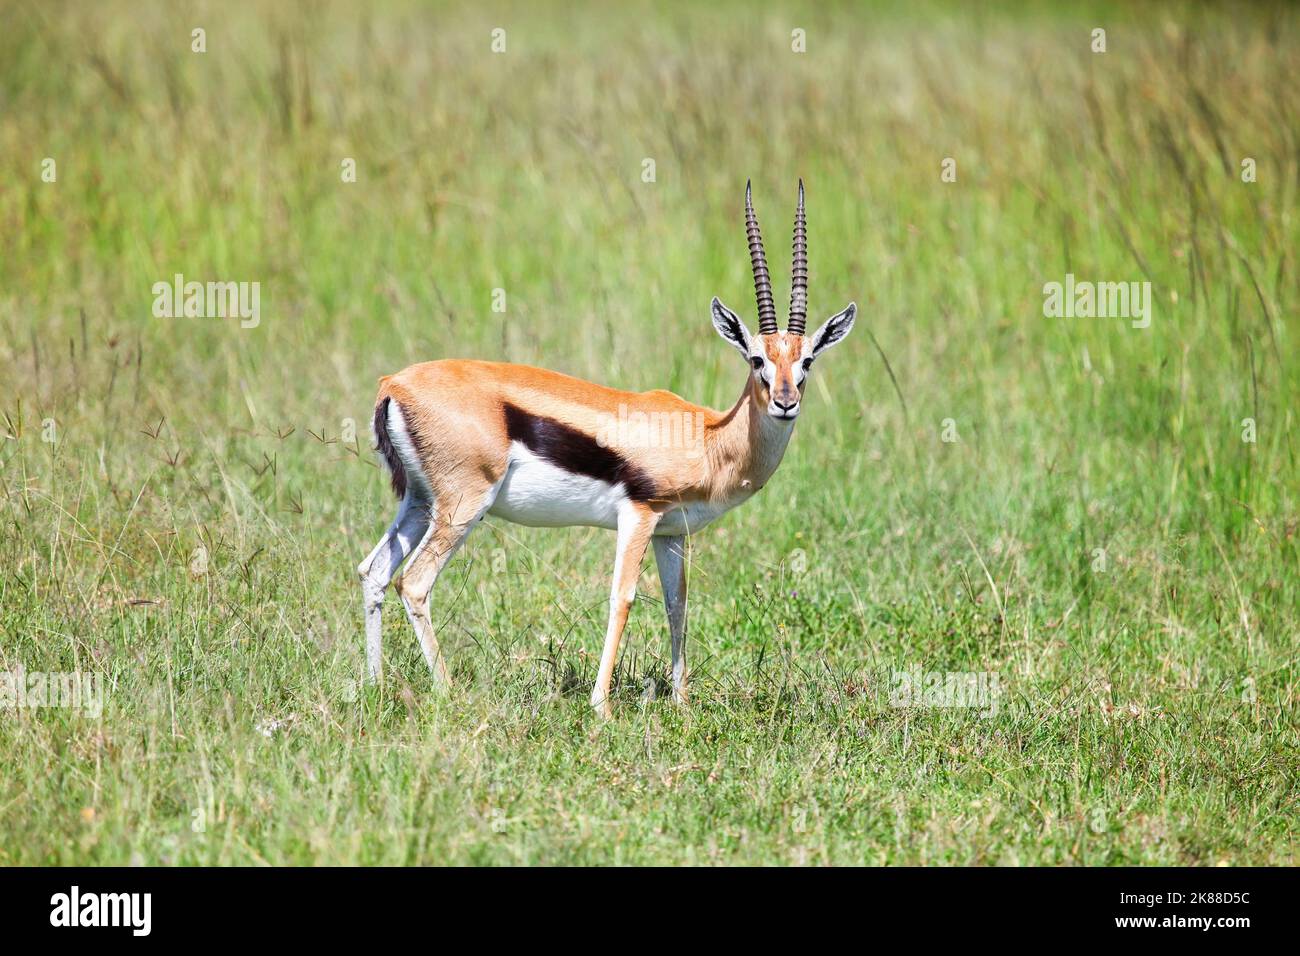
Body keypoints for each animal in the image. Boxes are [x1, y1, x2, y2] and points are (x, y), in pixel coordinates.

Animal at [357, 181, 856, 716]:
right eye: (757, 358)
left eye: (807, 360)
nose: (785, 402)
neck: (707, 438)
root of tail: (394, 385)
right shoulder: (638, 515)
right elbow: (623, 597)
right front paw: (602, 706)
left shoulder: (671, 533)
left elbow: (677, 604)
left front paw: (681, 704)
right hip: (464, 505)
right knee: (415, 582)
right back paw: (448, 692)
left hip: (420, 502)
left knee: (375, 571)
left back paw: (375, 686)